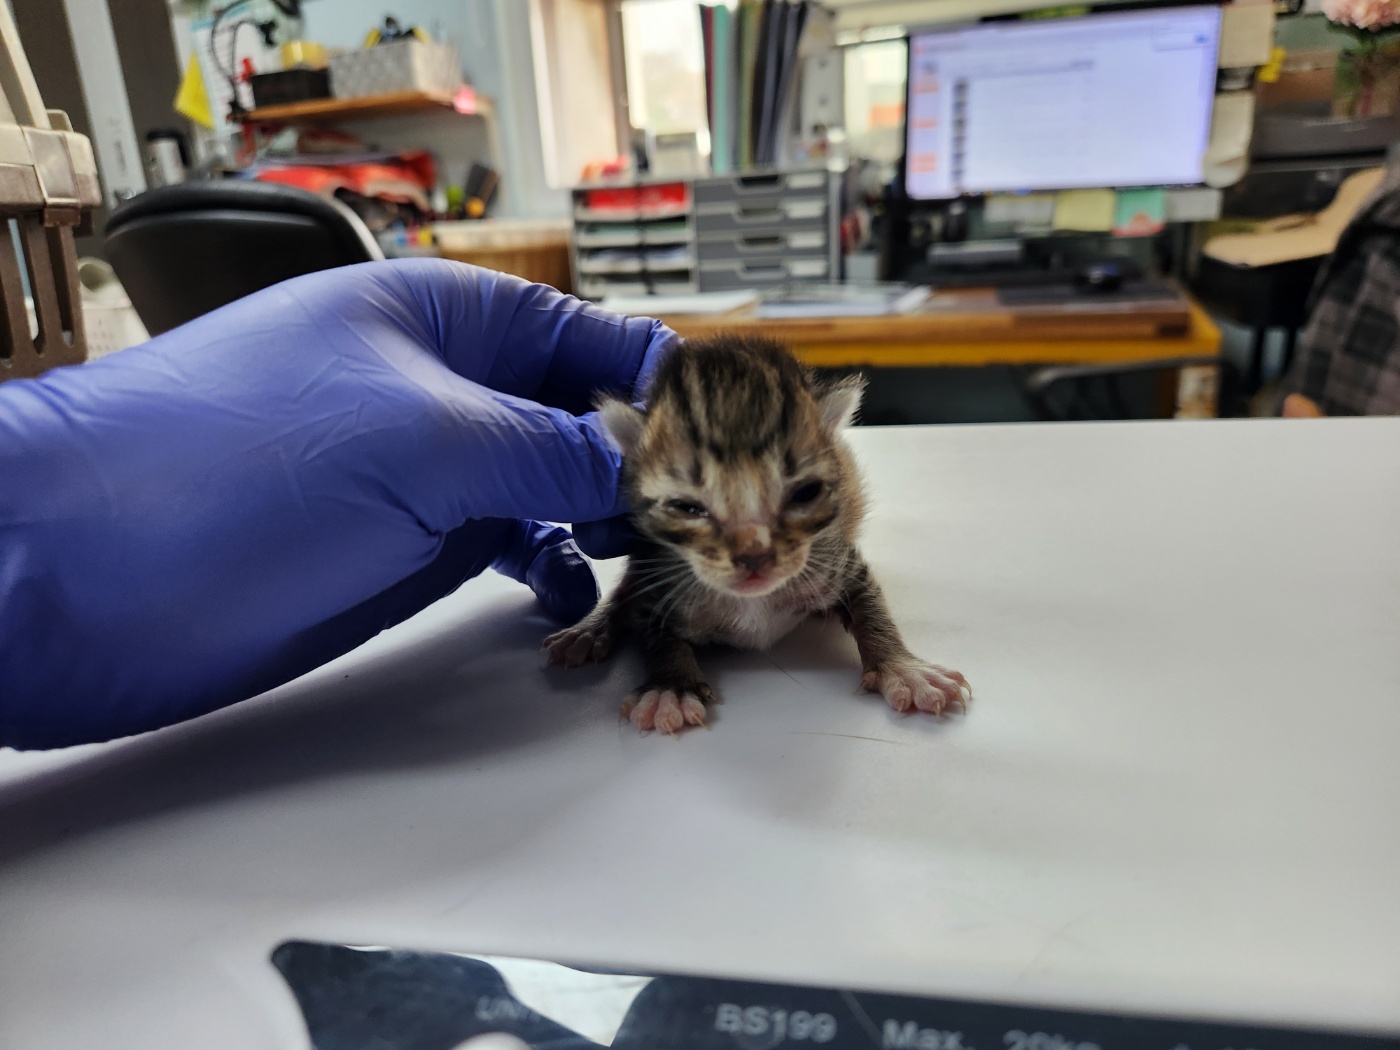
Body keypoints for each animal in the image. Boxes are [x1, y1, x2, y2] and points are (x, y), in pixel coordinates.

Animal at [540, 334, 968, 733]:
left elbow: (873, 607)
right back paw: (589, 629)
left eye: (805, 493)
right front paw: (669, 687)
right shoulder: (657, 571)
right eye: (687, 507)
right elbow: (657, 631)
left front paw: (904, 669)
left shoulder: (836, 557)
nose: (754, 555)